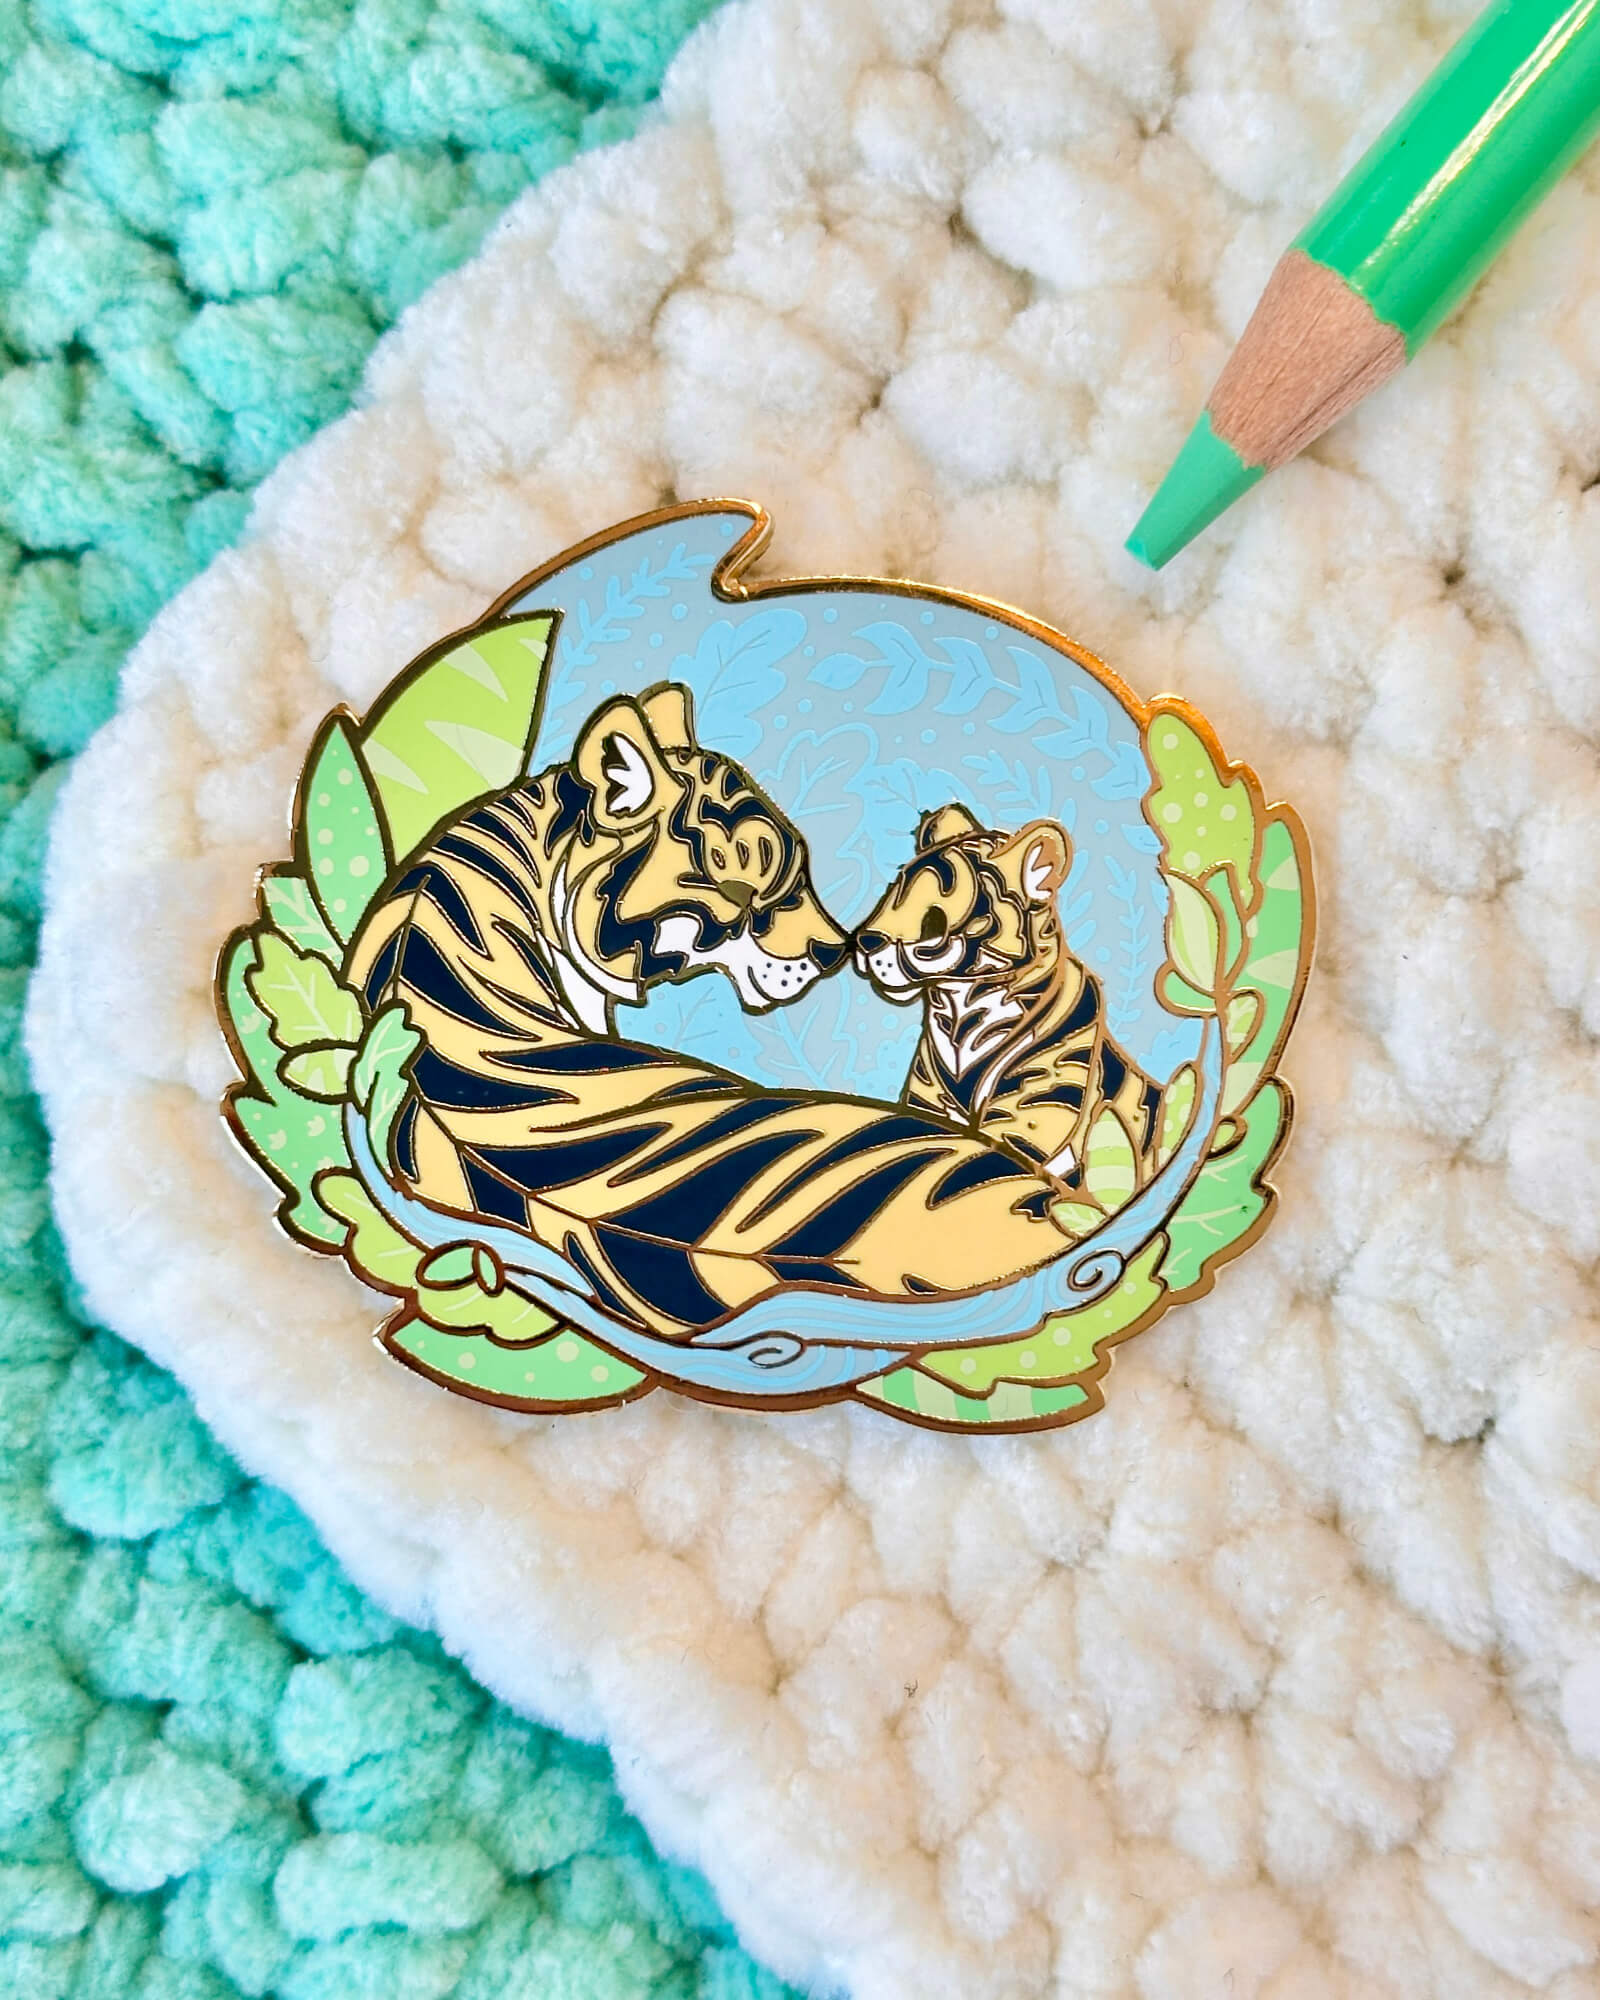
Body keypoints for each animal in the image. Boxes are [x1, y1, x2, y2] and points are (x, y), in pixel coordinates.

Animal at [853, 802, 1167, 1207]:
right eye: (892, 894)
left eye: (934, 919)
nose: (863, 941)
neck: (959, 1010)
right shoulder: (930, 1104)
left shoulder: (1029, 1117)